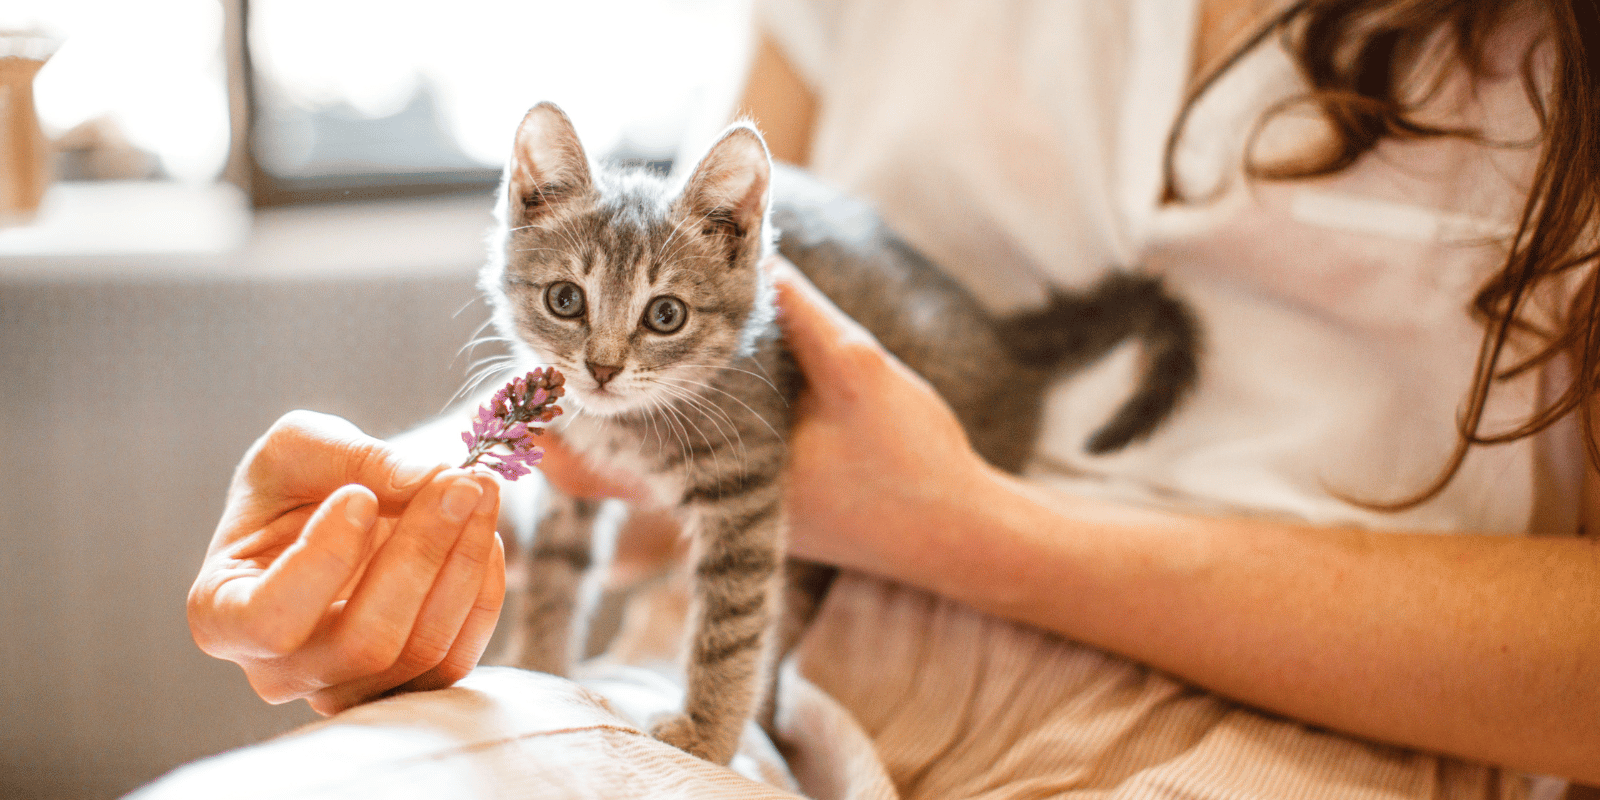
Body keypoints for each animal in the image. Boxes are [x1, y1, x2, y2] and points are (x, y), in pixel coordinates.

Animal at [486, 103, 1203, 764]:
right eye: (565, 300)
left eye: (666, 315)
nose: (603, 368)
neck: (629, 423)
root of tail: (1001, 342)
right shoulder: (575, 483)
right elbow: (555, 572)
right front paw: (540, 668)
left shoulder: (748, 481)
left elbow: (733, 619)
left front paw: (709, 737)